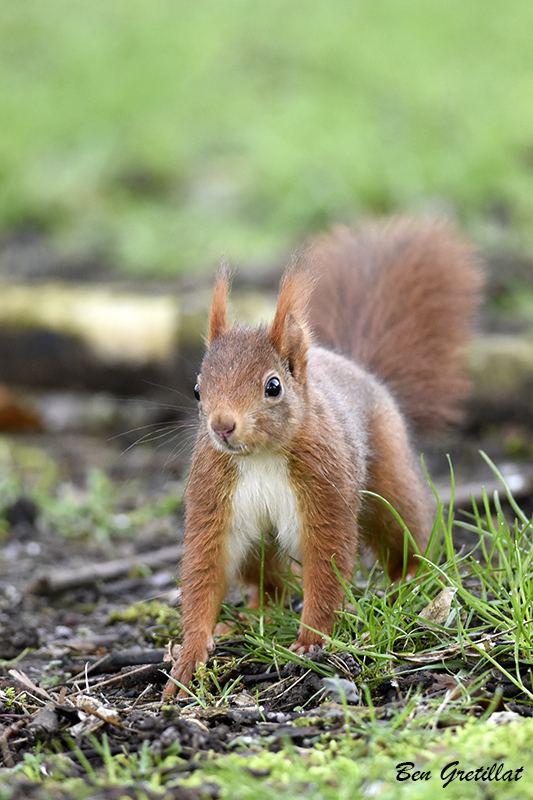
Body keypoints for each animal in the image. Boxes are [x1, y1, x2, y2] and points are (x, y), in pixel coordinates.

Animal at [164, 217, 484, 692]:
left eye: (273, 386)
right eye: (198, 389)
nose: (222, 426)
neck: (260, 456)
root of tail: (354, 366)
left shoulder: (325, 488)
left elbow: (327, 562)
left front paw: (311, 640)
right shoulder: (213, 496)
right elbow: (206, 566)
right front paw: (190, 655)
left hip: (389, 478)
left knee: (406, 530)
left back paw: (411, 582)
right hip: (257, 543)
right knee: (267, 580)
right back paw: (255, 615)